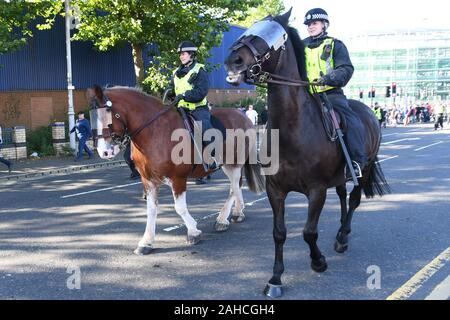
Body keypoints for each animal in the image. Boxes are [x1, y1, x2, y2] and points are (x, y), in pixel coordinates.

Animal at [86, 85, 266, 255]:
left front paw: (193, 231)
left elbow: (179, 208)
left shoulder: (177, 178)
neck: (154, 131)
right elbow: (151, 209)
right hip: (229, 165)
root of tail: (243, 116)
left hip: (234, 163)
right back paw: (237, 213)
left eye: (107, 114)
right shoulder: (148, 180)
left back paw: (223, 219)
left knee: (234, 187)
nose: (104, 152)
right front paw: (146, 242)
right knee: (237, 186)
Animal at [225, 10, 390, 298]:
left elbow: (308, 232)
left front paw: (318, 261)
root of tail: (369, 111)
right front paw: (275, 279)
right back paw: (339, 232)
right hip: (339, 177)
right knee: (343, 196)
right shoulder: (276, 190)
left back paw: (343, 237)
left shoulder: (316, 190)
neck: (293, 131)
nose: (233, 61)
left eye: (267, 35)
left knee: (354, 200)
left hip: (363, 169)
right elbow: (279, 233)